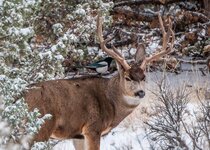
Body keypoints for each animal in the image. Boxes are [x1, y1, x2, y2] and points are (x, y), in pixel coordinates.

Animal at [23, 12, 175, 149]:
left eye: (144, 77)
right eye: (127, 77)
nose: (140, 92)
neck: (112, 102)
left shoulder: (78, 135)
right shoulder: (93, 128)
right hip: (41, 128)